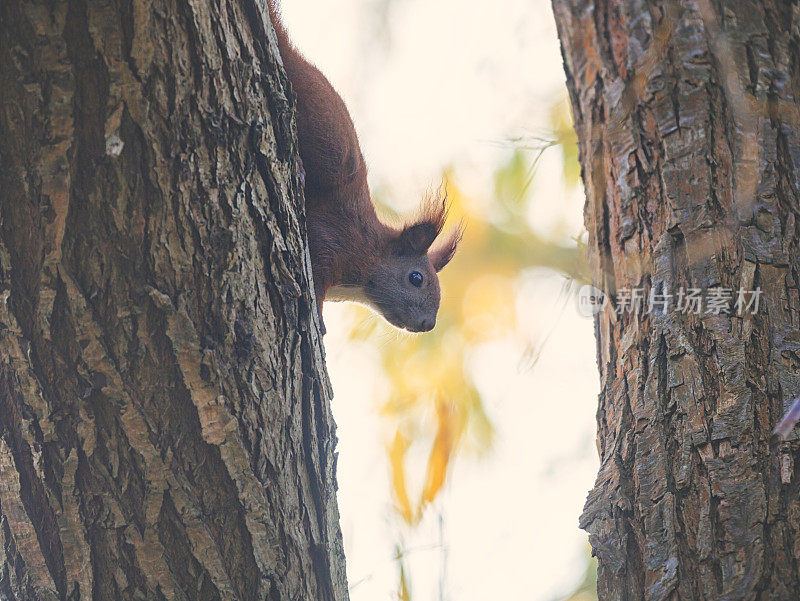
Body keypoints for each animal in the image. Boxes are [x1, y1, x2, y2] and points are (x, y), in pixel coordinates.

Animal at [266, 3, 460, 332]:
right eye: (416, 278)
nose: (427, 324)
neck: (371, 249)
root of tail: (289, 53)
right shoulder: (331, 239)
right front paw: (319, 320)